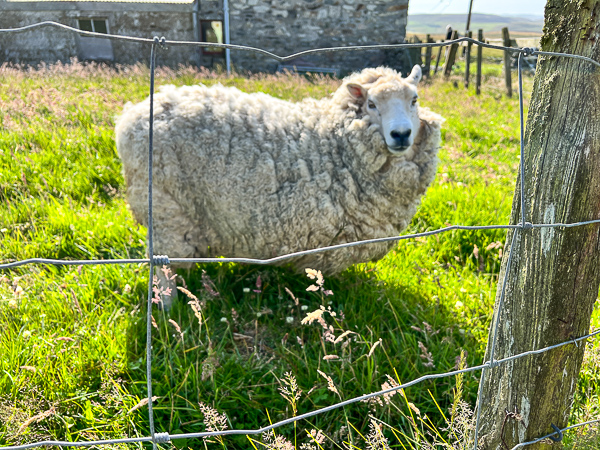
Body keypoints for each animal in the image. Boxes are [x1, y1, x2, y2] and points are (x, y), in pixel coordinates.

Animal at [117, 63, 442, 274]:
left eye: (414, 100)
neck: (335, 139)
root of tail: (129, 118)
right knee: (164, 268)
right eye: (372, 104)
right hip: (167, 210)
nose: (401, 134)